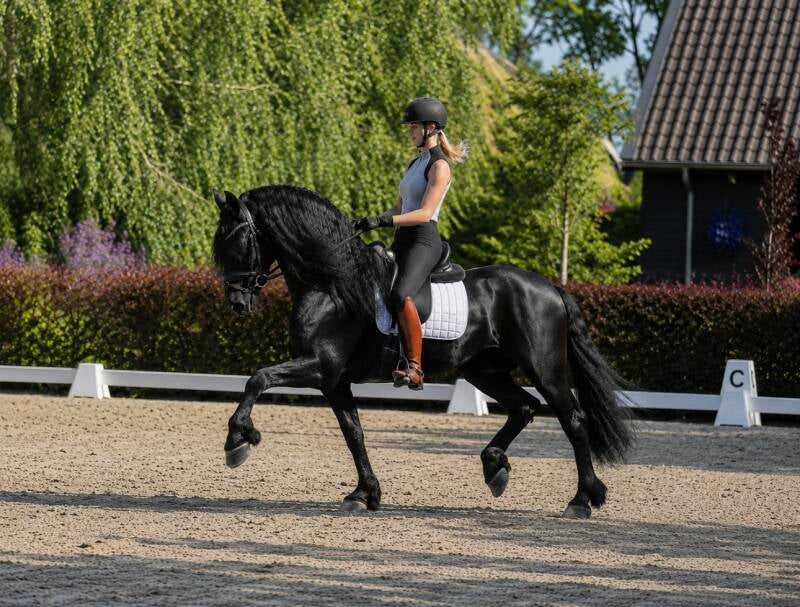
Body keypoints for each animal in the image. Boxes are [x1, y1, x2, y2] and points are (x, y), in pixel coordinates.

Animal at [212, 186, 635, 518]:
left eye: (238, 240)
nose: (236, 303)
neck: (330, 284)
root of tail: (551, 288)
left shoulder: (320, 367)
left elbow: (258, 378)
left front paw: (238, 440)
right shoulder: (335, 382)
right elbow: (354, 433)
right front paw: (364, 494)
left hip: (545, 369)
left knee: (572, 420)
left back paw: (581, 500)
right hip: (482, 370)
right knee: (524, 407)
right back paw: (496, 467)